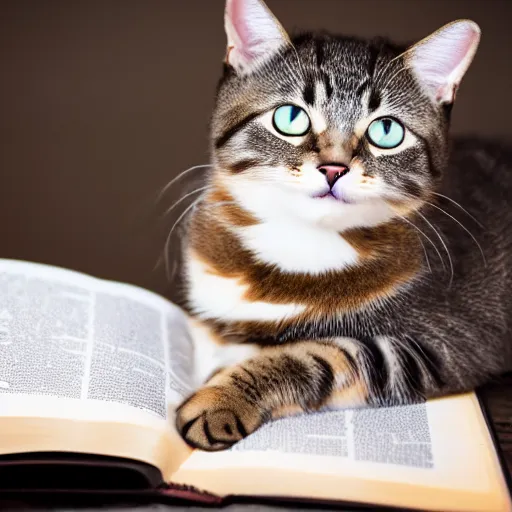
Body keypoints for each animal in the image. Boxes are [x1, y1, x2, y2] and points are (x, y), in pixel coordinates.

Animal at [174, 0, 512, 452]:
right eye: (290, 117)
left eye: (386, 131)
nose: (333, 168)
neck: (299, 241)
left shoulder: (444, 340)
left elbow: (321, 356)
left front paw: (221, 400)